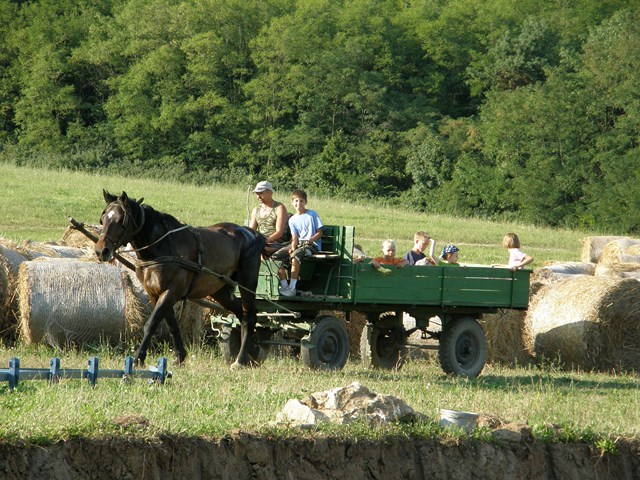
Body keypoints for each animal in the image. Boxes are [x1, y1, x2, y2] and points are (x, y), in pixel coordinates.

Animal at [94, 190, 264, 368]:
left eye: (121, 221)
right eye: (103, 219)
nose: (101, 251)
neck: (161, 248)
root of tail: (251, 233)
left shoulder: (170, 292)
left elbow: (151, 324)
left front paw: (138, 359)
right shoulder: (154, 293)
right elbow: (172, 325)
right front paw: (180, 356)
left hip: (247, 282)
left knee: (249, 316)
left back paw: (241, 359)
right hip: (220, 289)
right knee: (240, 313)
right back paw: (254, 350)